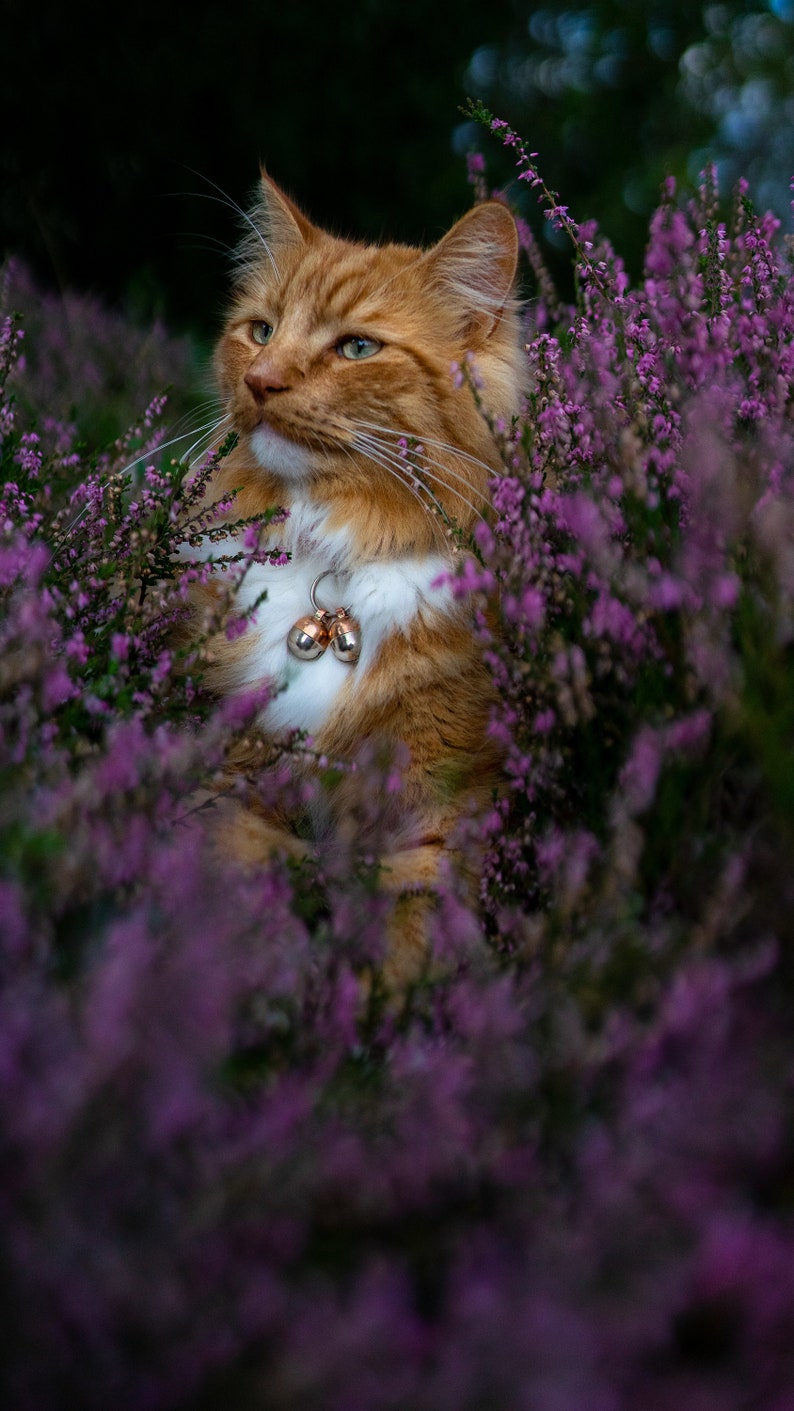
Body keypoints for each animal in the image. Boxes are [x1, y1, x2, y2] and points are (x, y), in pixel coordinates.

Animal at [190, 176, 527, 987]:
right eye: (260, 332)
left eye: (358, 348)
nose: (260, 381)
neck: (335, 551)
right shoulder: (236, 766)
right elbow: (231, 864)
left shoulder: (443, 808)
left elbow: (410, 929)